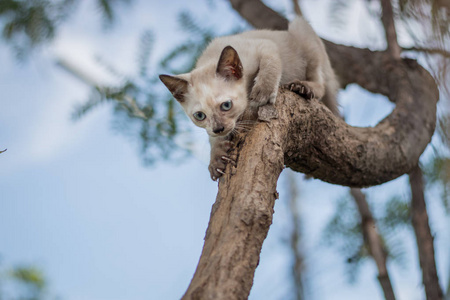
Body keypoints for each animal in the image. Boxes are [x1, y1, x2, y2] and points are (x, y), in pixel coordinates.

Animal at [160, 17, 340, 180]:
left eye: (226, 105)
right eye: (199, 116)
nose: (219, 129)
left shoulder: (266, 46)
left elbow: (270, 67)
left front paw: (262, 93)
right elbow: (212, 138)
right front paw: (217, 159)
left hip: (300, 28)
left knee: (321, 83)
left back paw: (303, 87)